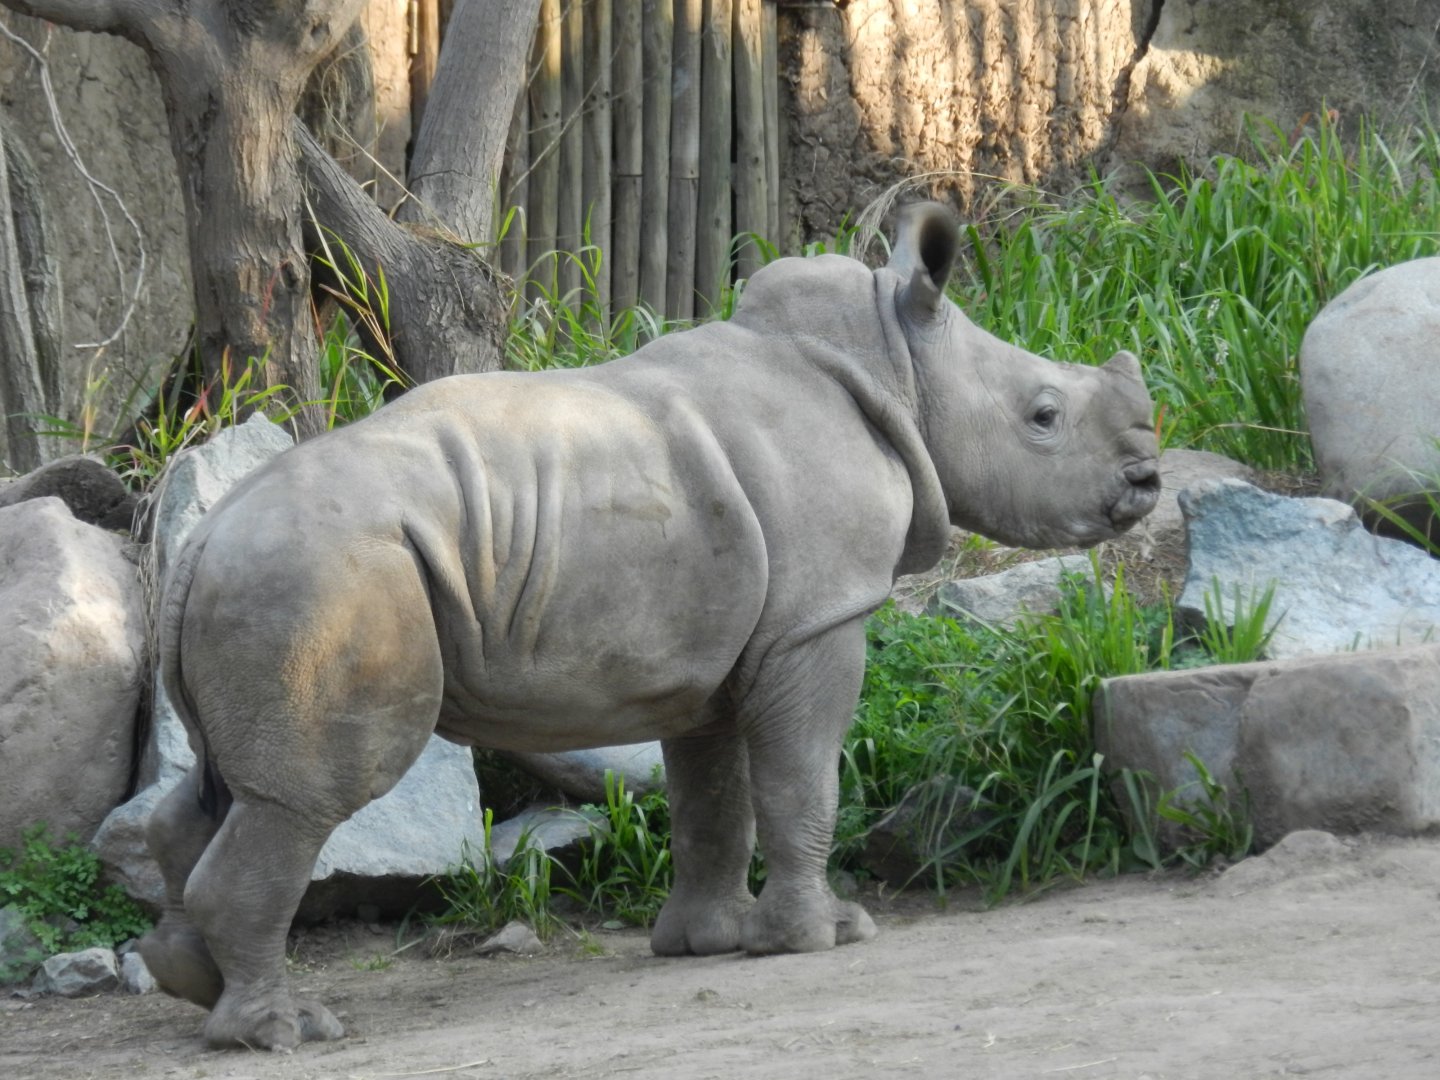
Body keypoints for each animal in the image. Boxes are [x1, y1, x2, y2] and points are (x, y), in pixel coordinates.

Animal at [137, 203, 1160, 1050]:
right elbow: (801, 778)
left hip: (266, 584)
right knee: (308, 799)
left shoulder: (715, 647)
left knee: (222, 793)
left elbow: (714, 796)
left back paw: (197, 987)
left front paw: (712, 943)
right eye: (1044, 417)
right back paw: (289, 1032)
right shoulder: (815, 619)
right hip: (321, 582)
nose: (1148, 482)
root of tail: (198, 544)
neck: (897, 363)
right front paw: (823, 936)